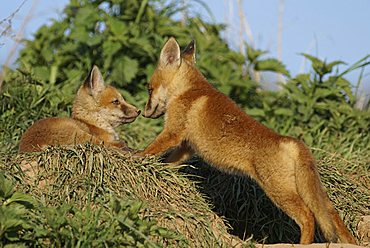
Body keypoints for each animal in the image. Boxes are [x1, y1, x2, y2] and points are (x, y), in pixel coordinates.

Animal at [137, 37, 356, 244]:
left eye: (149, 89)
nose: (143, 113)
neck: (189, 90)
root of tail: (291, 141)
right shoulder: (187, 146)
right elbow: (168, 161)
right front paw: (160, 169)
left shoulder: (173, 133)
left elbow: (150, 150)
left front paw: (136, 158)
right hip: (312, 192)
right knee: (332, 214)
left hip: (279, 191)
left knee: (307, 217)